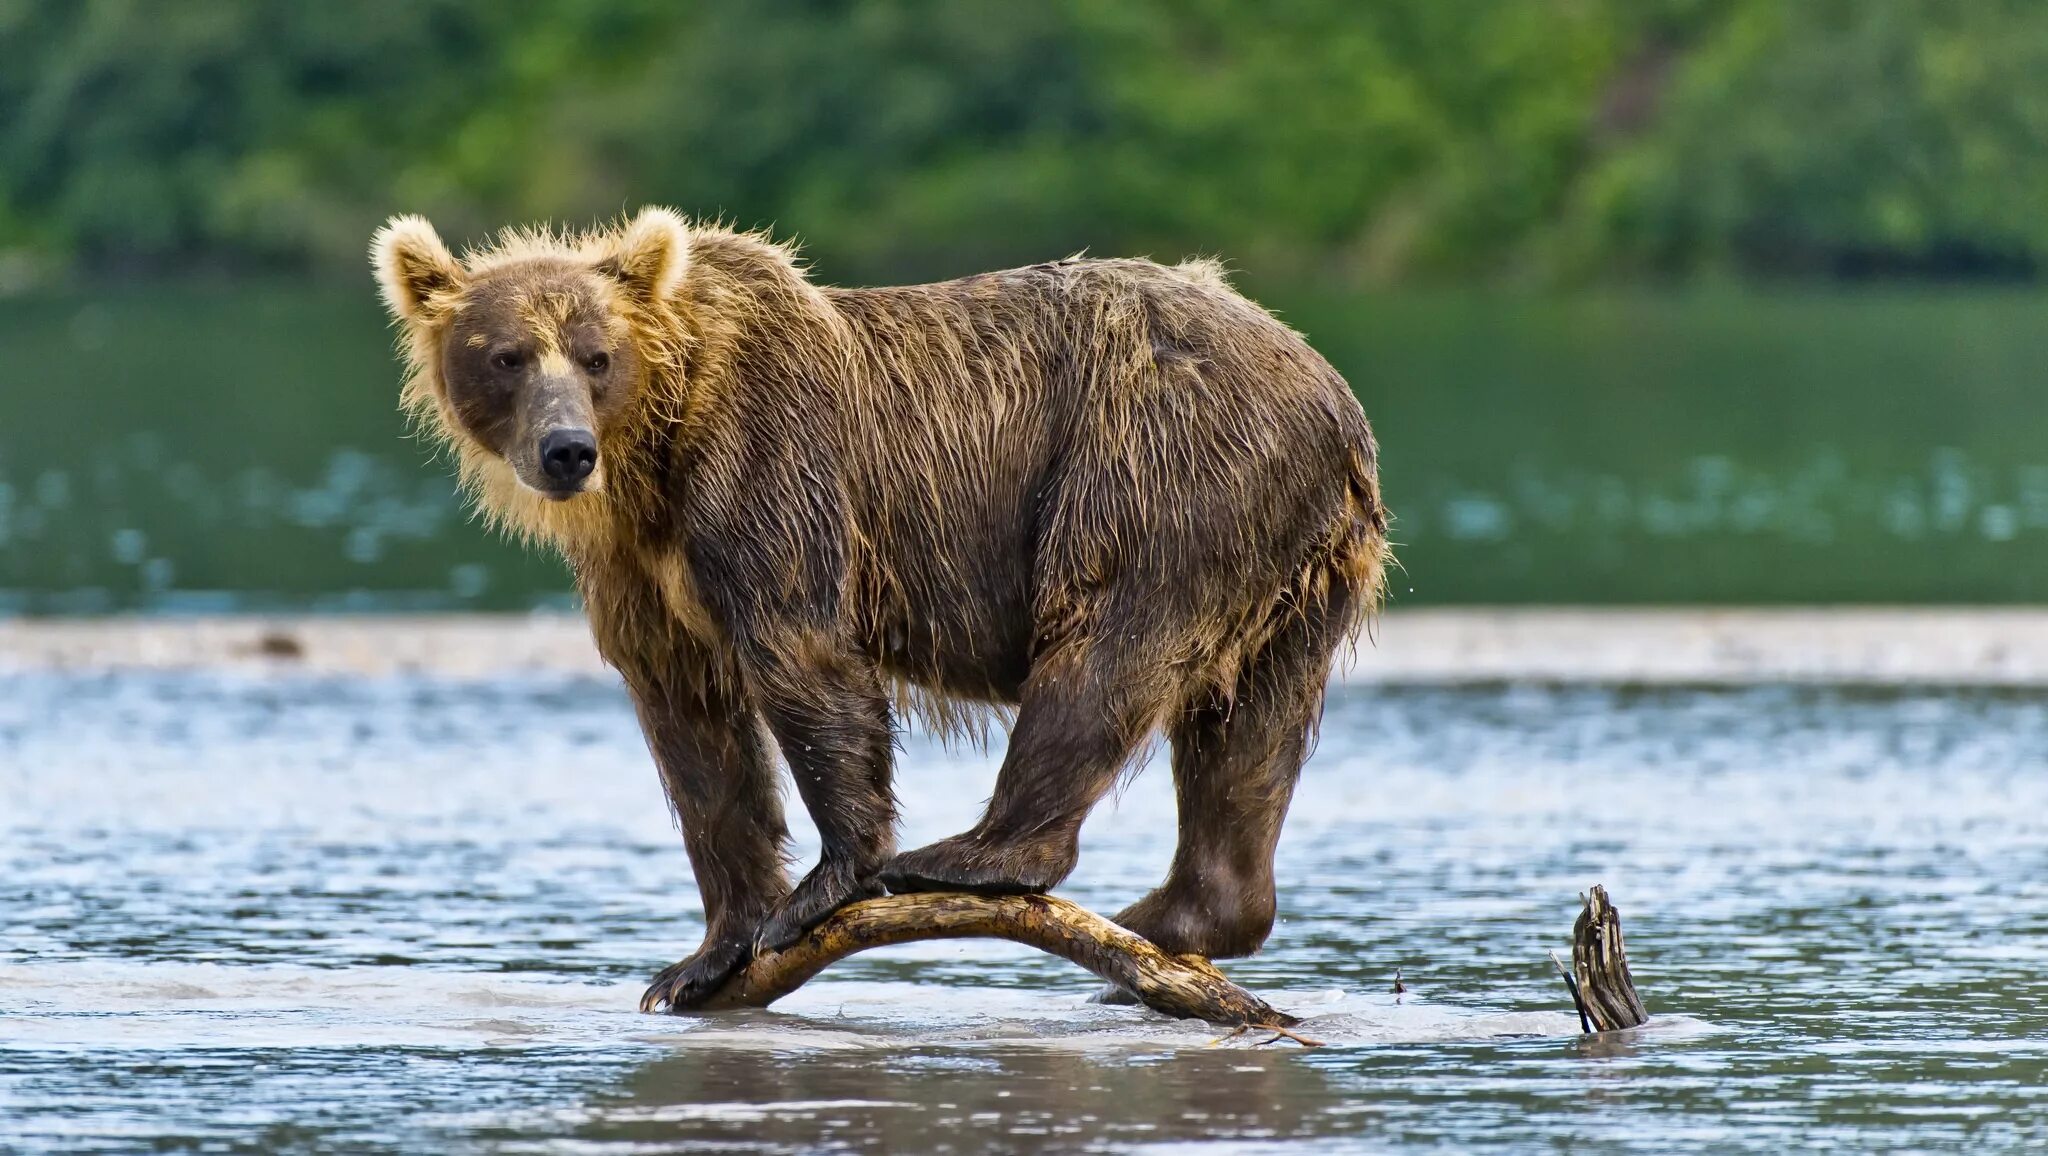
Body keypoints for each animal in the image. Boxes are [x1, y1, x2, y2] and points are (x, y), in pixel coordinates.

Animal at [372, 204, 1392, 1012]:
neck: (657, 456)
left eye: (594, 355)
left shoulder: (769, 471)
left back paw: (977, 855)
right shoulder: (638, 573)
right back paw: (1179, 918)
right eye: (506, 356)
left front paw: (823, 886)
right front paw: (703, 956)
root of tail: (1332, 392)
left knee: (1107, 645)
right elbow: (693, 733)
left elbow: (802, 654)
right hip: (1295, 562)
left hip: (1158, 467)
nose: (565, 450)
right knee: (1249, 724)